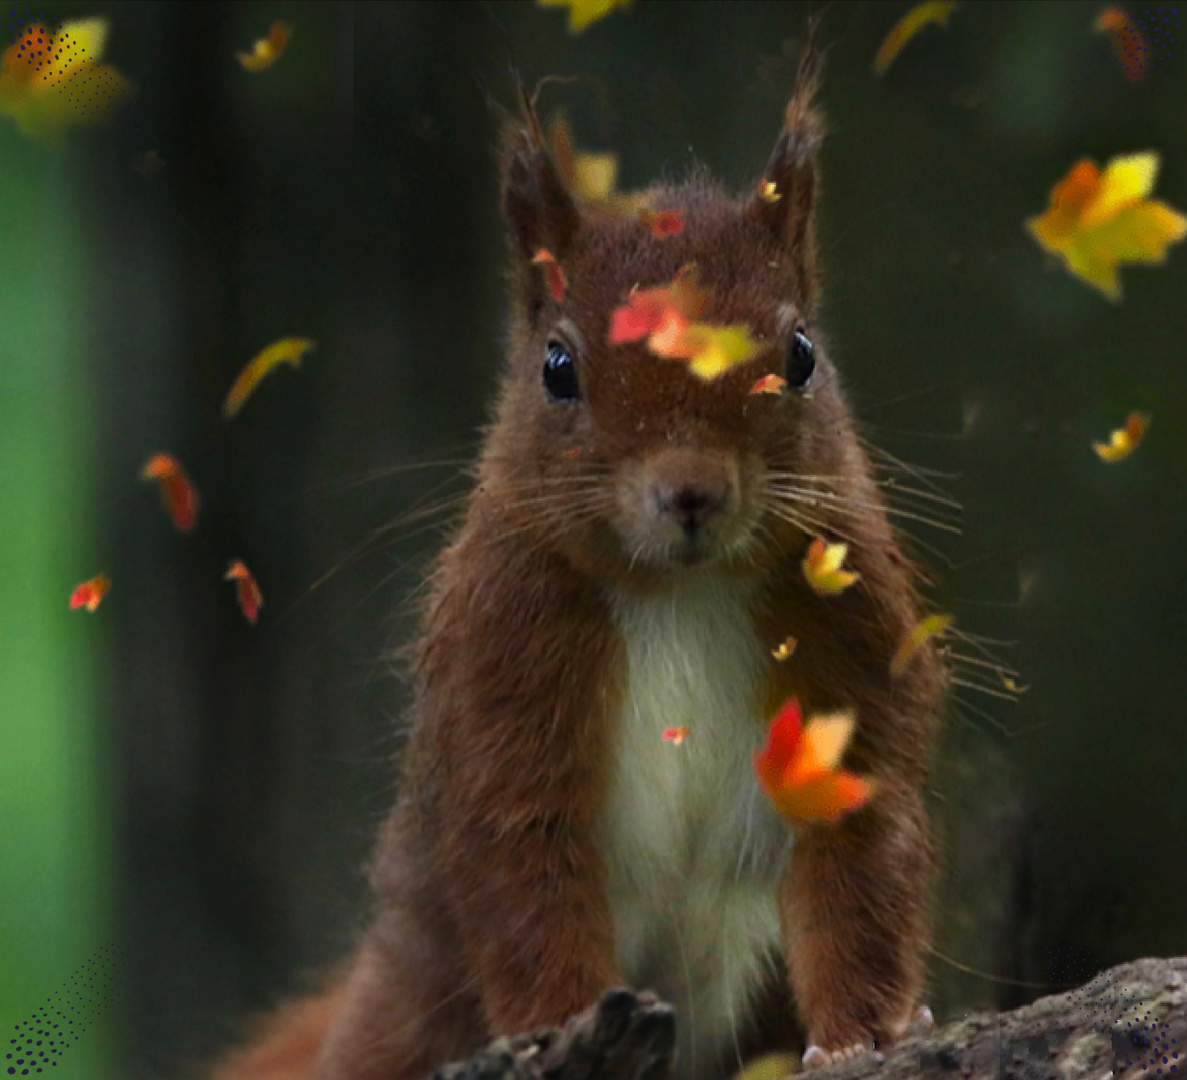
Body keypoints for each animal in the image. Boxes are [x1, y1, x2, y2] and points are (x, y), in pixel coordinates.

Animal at [206, 44, 944, 1080]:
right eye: (557, 367)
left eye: (800, 353)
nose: (689, 490)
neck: (680, 594)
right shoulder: (501, 662)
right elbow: (524, 874)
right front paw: (561, 1029)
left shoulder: (852, 637)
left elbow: (861, 854)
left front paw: (863, 1038)